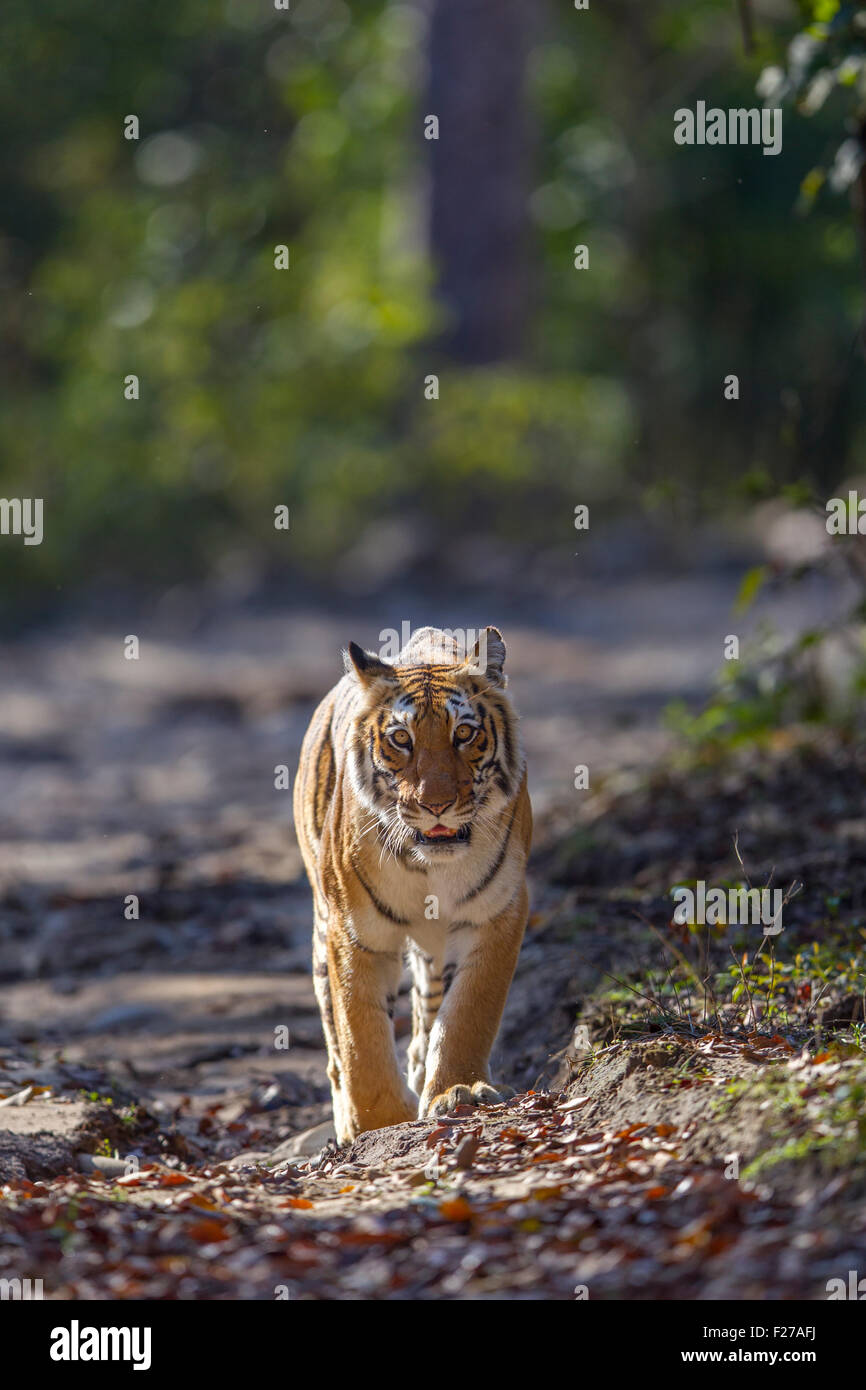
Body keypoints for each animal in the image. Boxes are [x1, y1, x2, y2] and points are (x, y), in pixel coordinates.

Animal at [294, 625, 530, 1145]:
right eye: (401, 738)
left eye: (464, 733)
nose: (435, 804)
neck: (430, 868)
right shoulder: (355, 932)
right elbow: (360, 1035)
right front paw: (377, 1120)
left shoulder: (497, 914)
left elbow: (468, 1013)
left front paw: (458, 1090)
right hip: (322, 929)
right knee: (334, 1040)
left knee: (429, 1008)